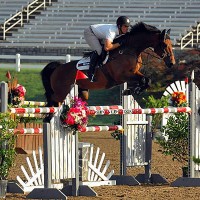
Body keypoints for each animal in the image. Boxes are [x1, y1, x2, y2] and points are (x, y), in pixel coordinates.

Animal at [40, 21, 175, 107]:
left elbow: (147, 80)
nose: (172, 63)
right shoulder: (121, 75)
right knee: (52, 100)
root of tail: (58, 68)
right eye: (164, 45)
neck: (129, 50)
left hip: (82, 92)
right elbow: (144, 80)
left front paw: (132, 90)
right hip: (61, 92)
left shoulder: (135, 72)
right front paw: (133, 90)